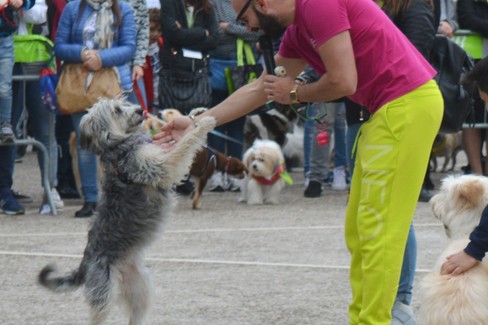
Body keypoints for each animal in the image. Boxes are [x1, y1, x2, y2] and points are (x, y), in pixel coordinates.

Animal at [38, 97, 214, 322]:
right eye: (116, 110)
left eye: (124, 103)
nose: (140, 110)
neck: (118, 146)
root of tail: (84, 266)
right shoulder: (162, 166)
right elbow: (186, 142)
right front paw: (204, 124)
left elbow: (181, 140)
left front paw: (197, 113)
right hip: (103, 295)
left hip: (141, 288)